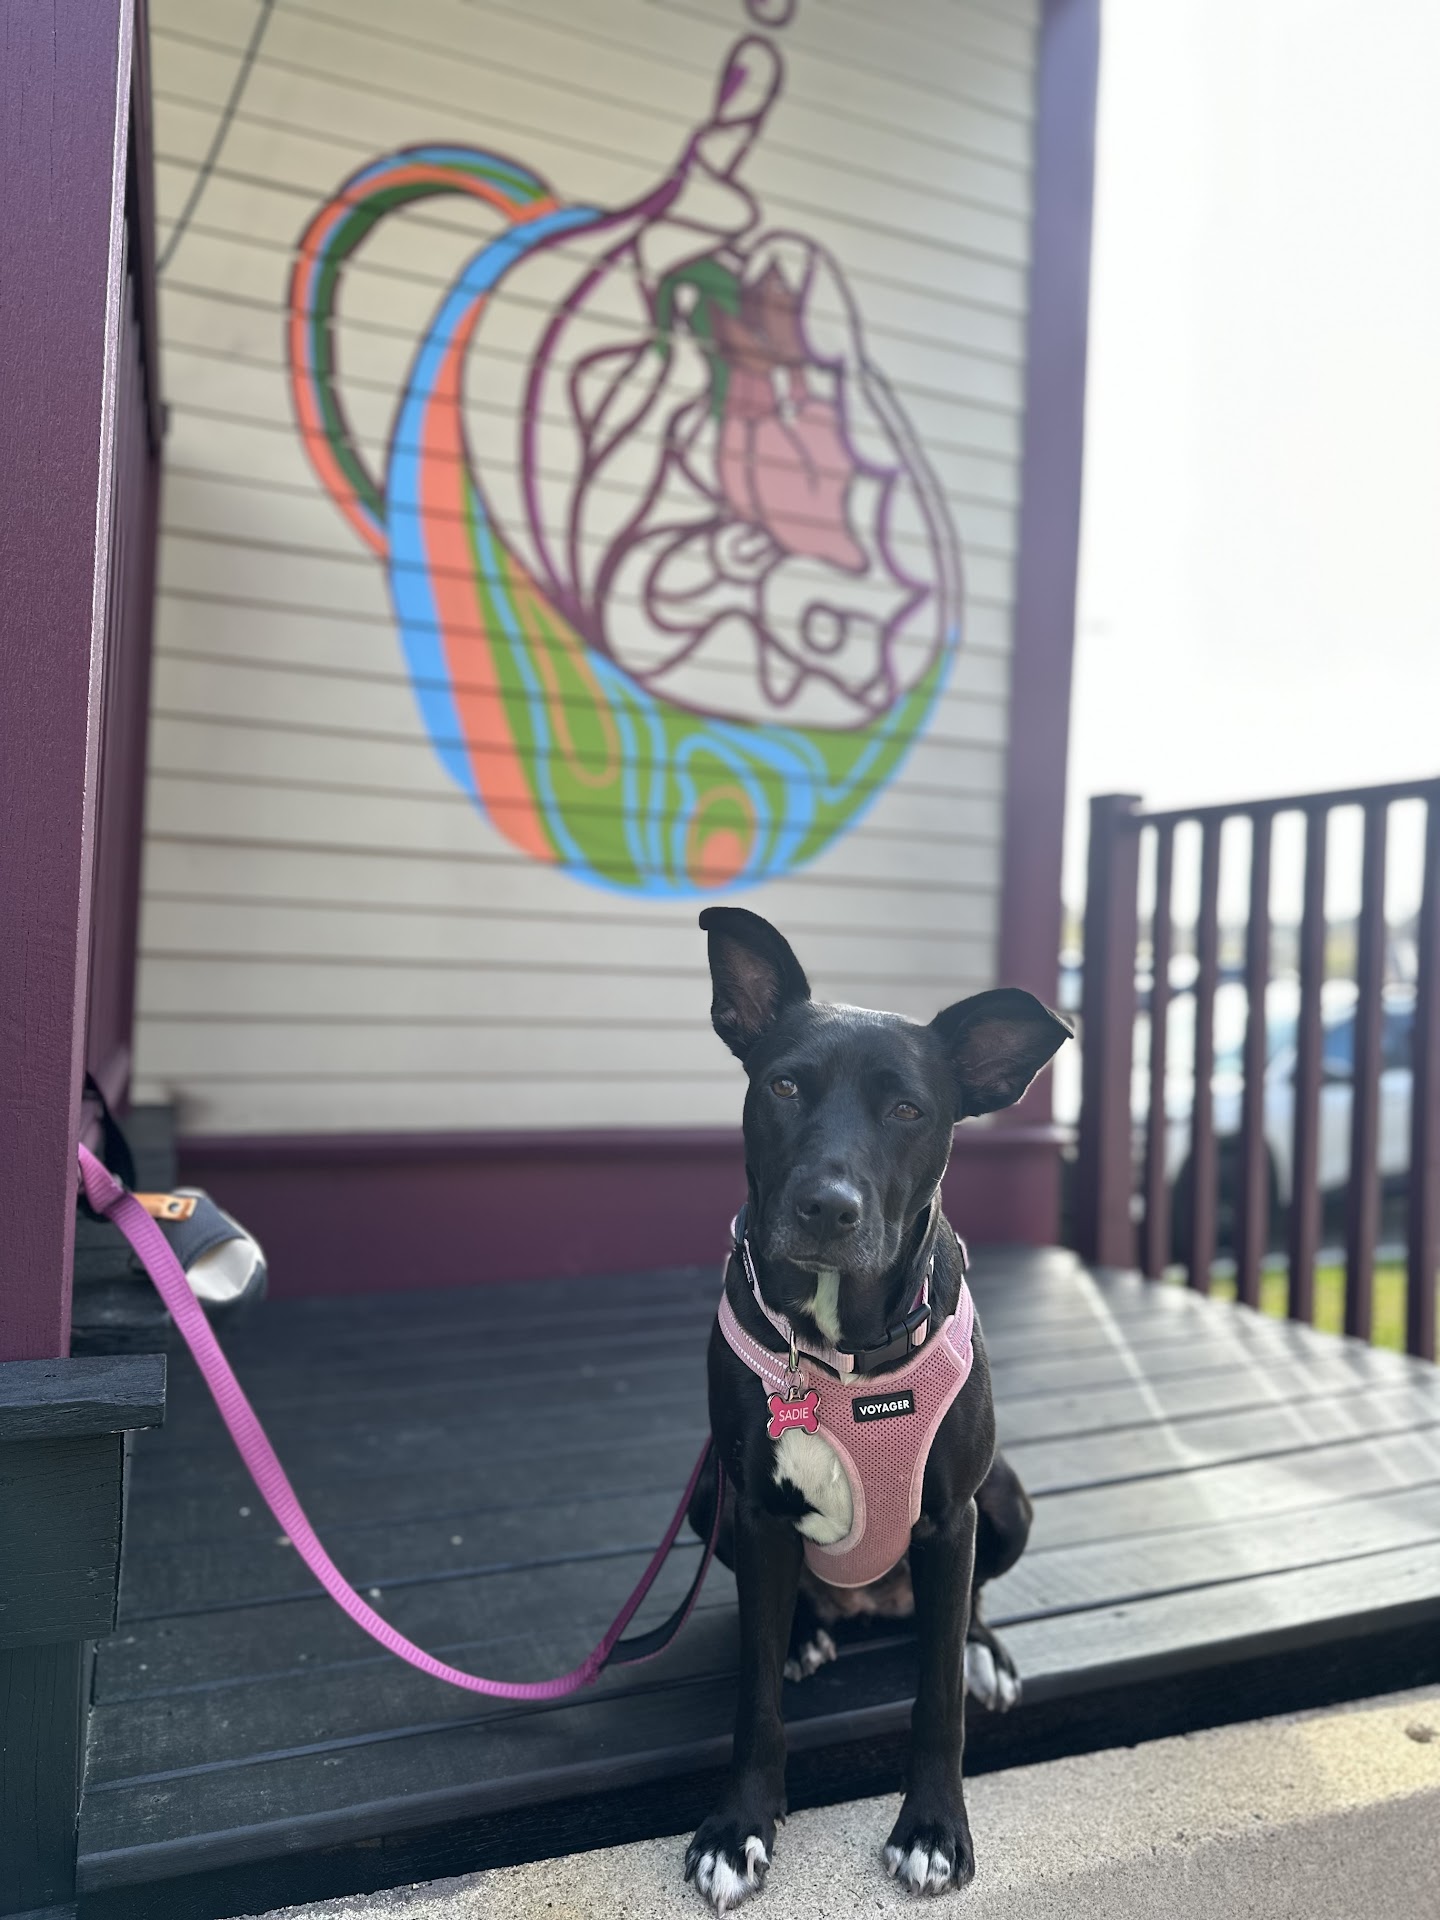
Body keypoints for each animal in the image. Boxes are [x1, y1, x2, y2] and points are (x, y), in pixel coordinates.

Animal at [684, 907, 1070, 1910]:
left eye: (909, 1111)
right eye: (783, 1085)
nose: (827, 1206)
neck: (838, 1354)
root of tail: (872, 1600)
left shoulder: (951, 1515)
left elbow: (936, 1701)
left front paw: (933, 1827)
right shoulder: (754, 1506)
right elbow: (754, 1703)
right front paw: (739, 1827)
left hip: (1002, 1498)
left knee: (965, 1604)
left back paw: (982, 1649)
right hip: (711, 1501)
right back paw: (804, 1633)